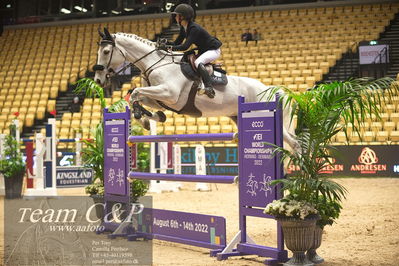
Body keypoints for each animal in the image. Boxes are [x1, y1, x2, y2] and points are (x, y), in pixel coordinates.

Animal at [94, 29, 298, 152]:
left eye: (106, 52)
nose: (97, 80)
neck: (155, 63)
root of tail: (271, 89)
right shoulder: (162, 98)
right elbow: (137, 97)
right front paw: (151, 117)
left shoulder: (169, 94)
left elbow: (136, 92)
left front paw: (142, 116)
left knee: (294, 143)